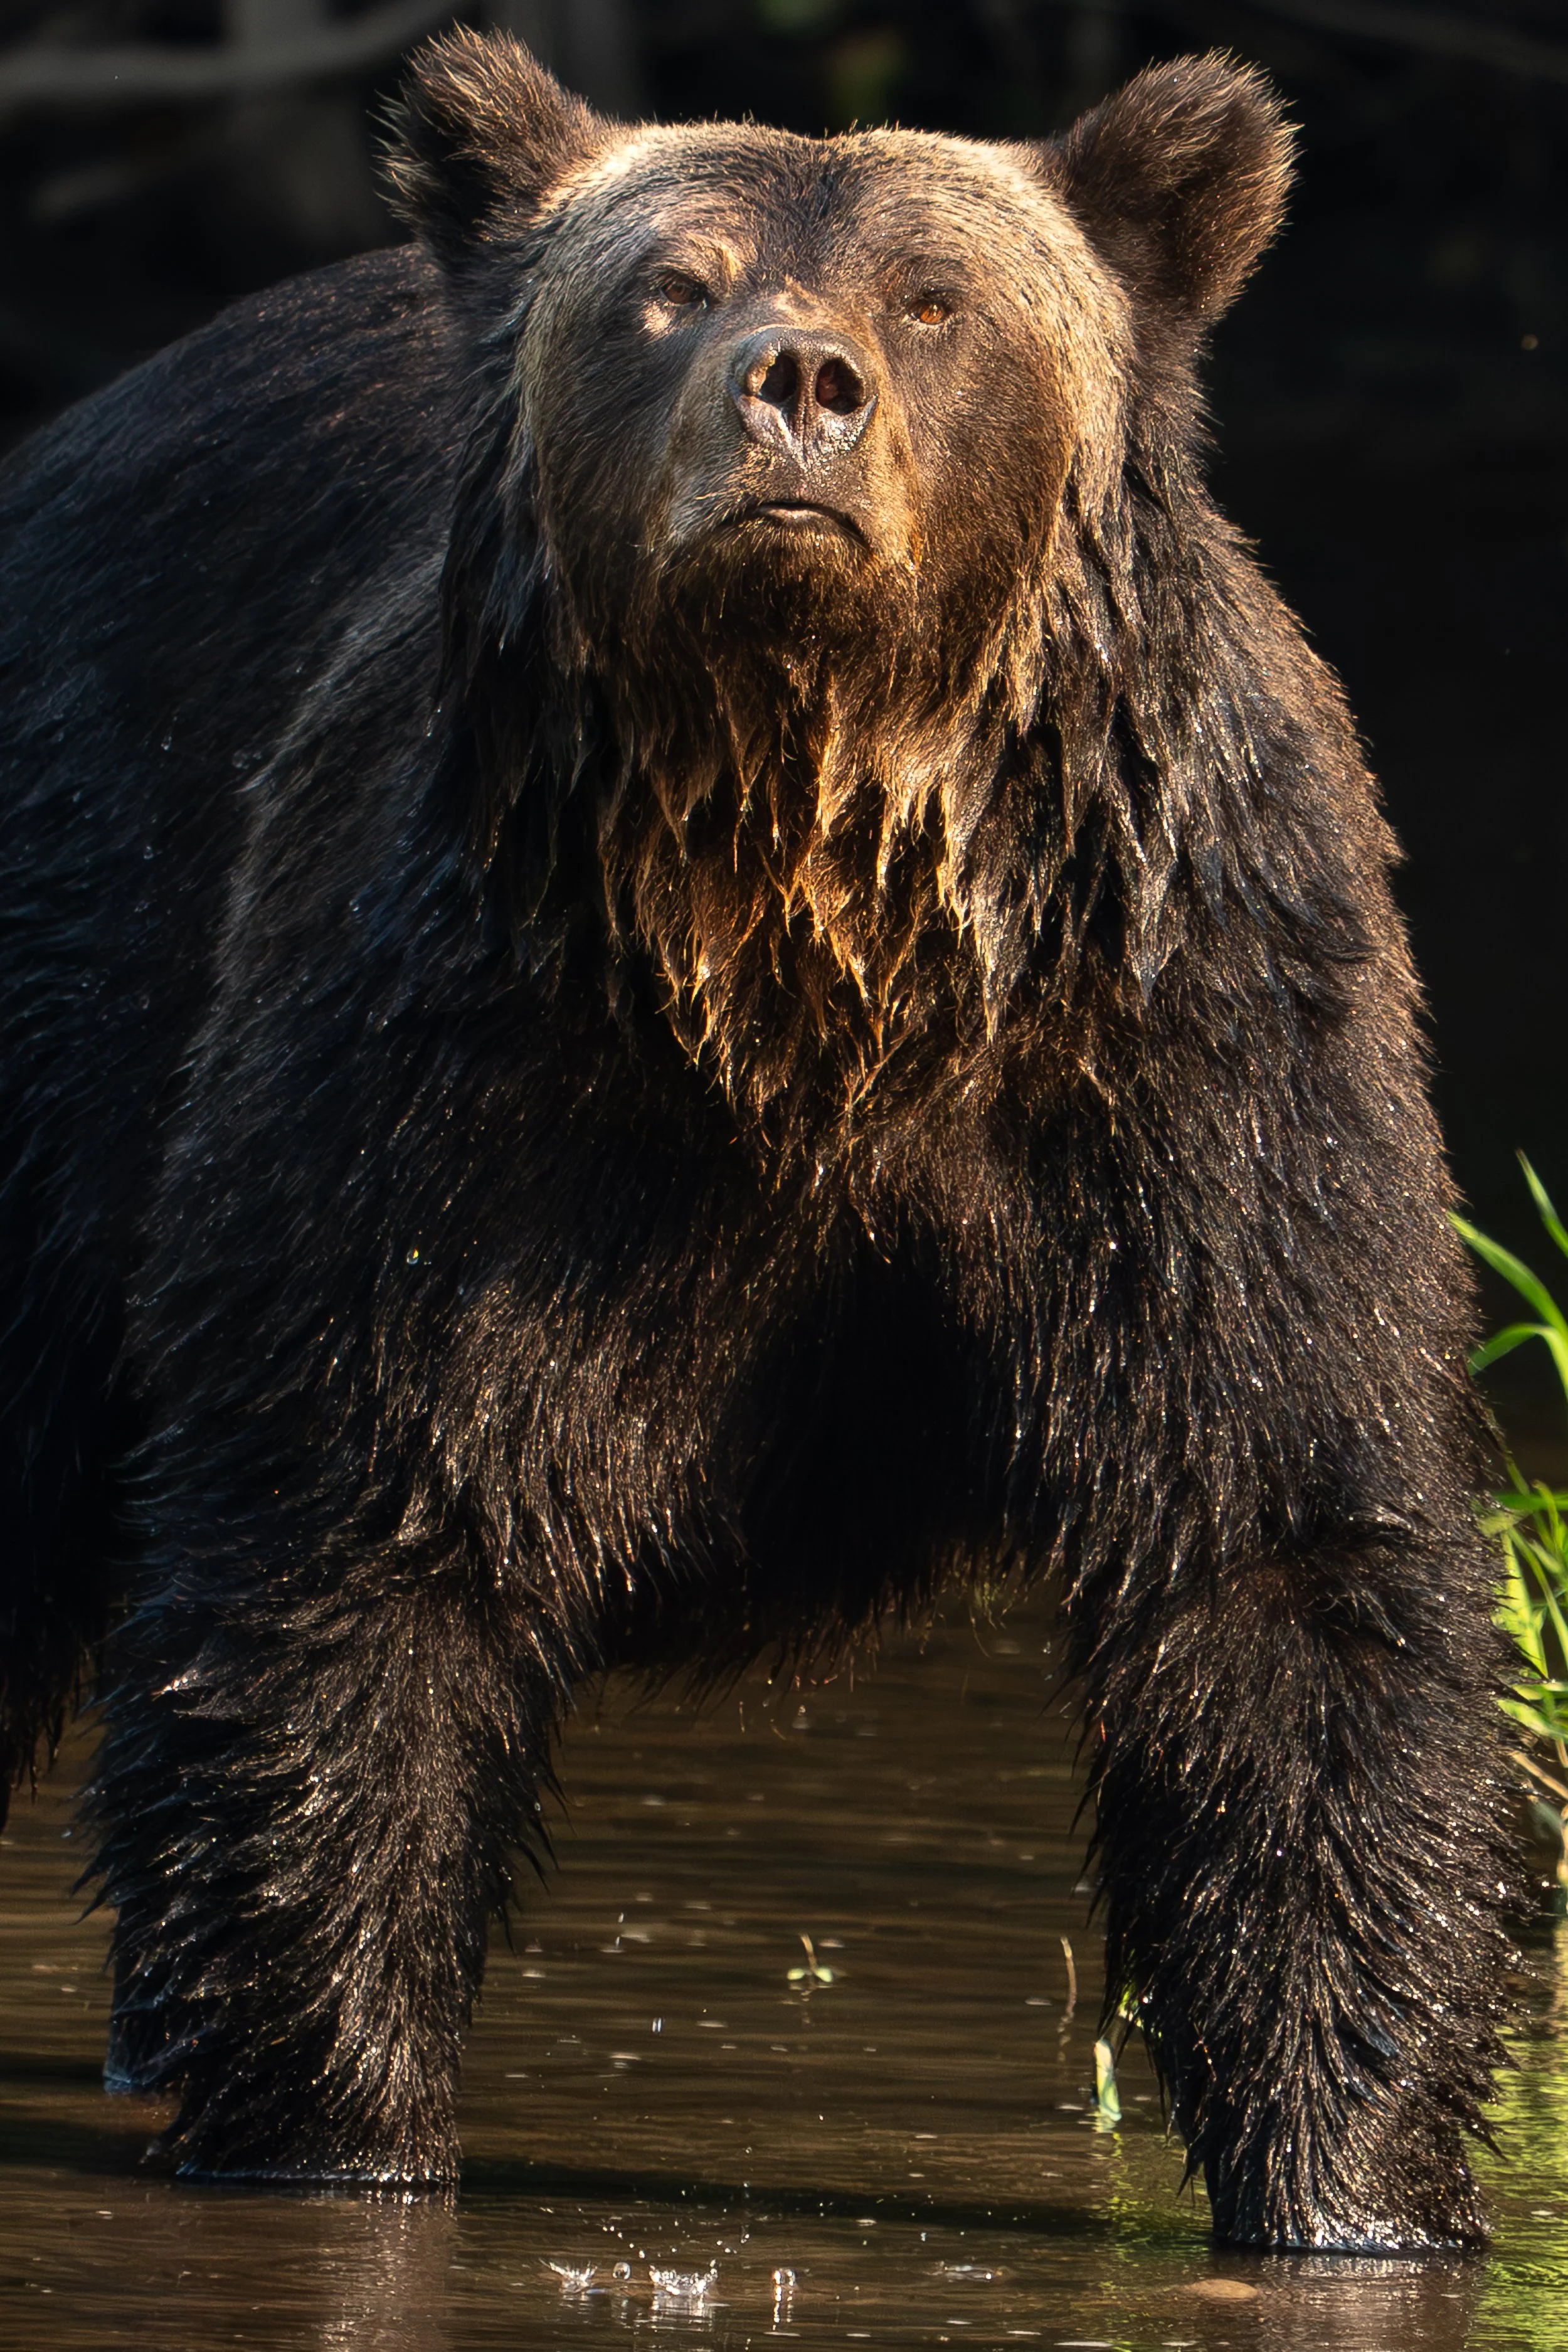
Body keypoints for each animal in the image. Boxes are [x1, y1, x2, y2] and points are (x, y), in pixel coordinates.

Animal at [0, 30, 1510, 2247]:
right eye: (665, 289)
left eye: (934, 303)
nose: (796, 384)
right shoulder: (447, 1052)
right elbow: (352, 1547)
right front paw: (336, 2123)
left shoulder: (1183, 1064)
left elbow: (1280, 1562)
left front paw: (1354, 2182)